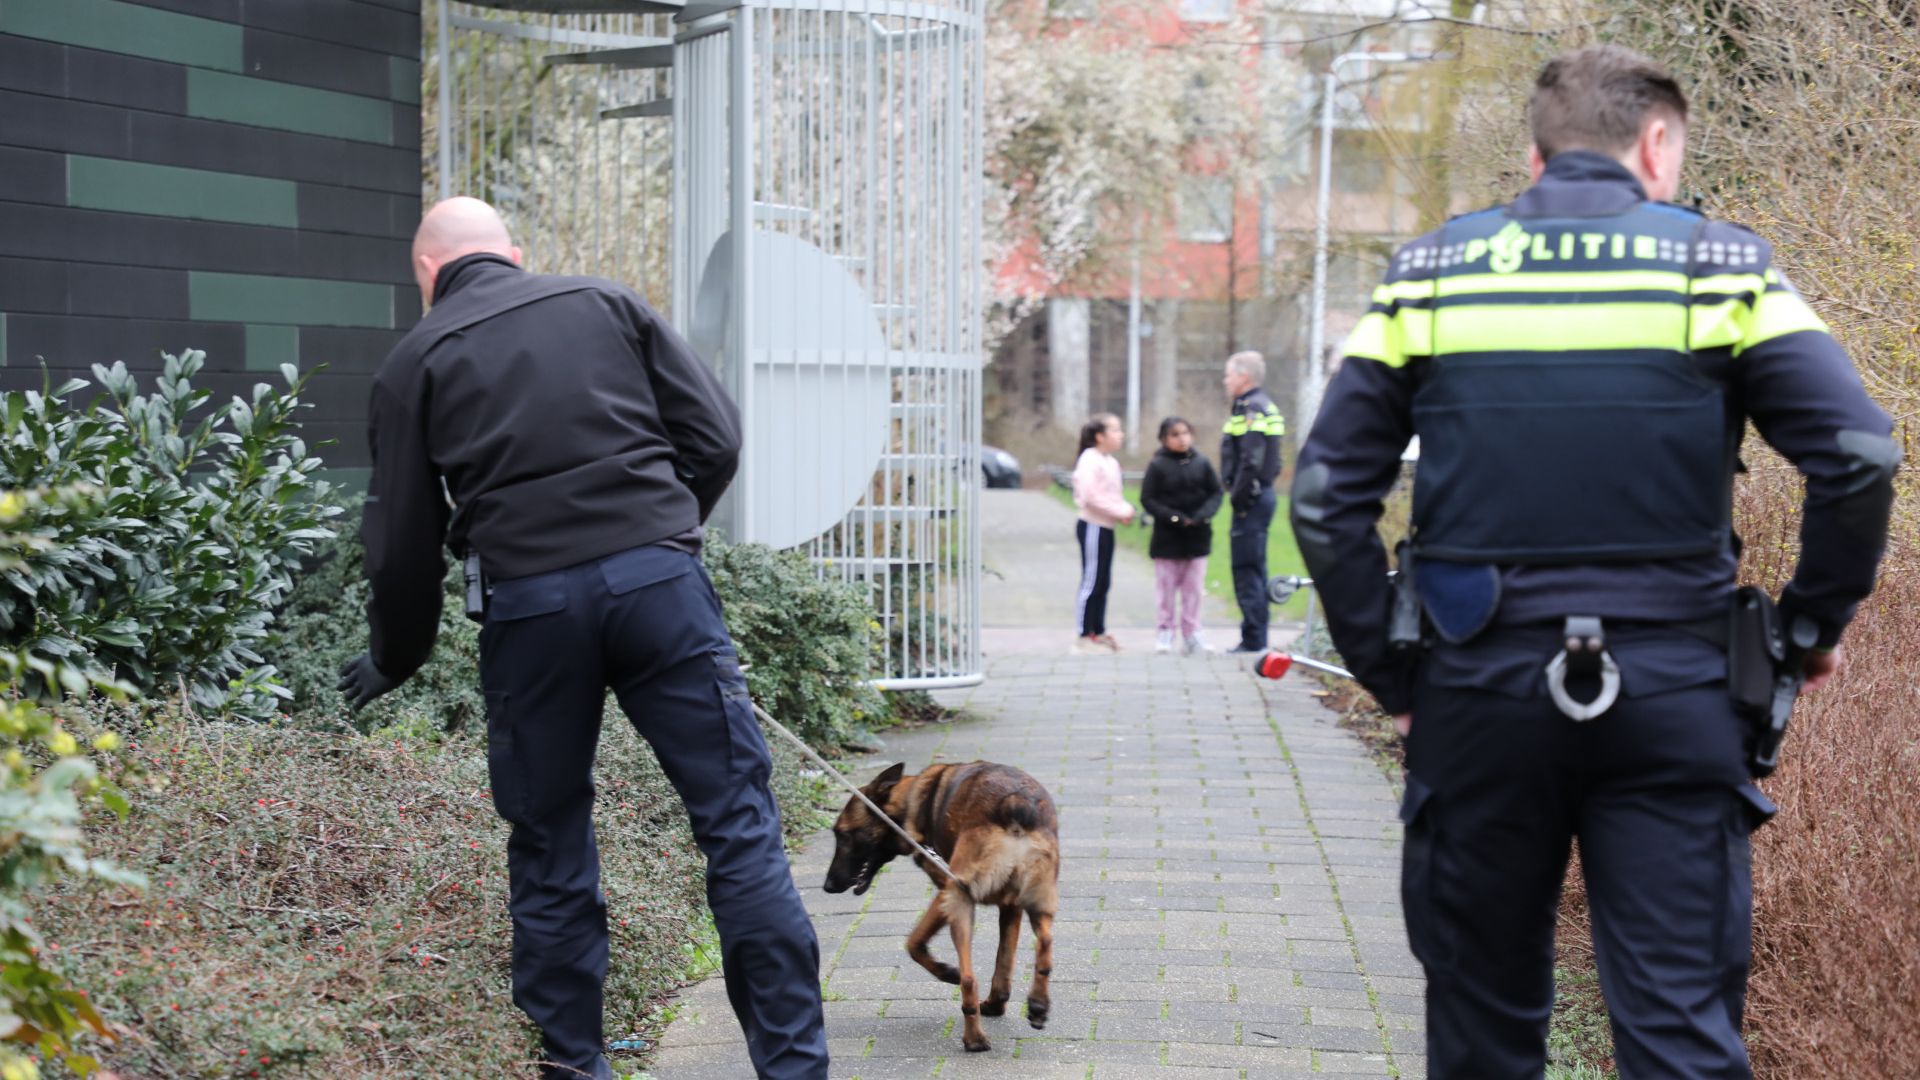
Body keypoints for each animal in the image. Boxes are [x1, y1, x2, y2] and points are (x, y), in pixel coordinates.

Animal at [825, 757, 1067, 1045]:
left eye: (843, 834)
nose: (827, 886)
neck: (910, 801)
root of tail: (1014, 802)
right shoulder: (1011, 907)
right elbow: (1003, 962)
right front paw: (997, 1004)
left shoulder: (945, 892)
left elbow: (913, 943)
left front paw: (946, 971)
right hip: (1037, 902)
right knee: (1046, 944)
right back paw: (1038, 1004)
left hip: (960, 903)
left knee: (969, 978)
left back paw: (973, 1038)